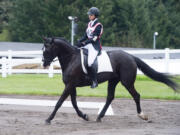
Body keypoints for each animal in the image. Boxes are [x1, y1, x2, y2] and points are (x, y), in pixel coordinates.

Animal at [42, 37, 179, 124]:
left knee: (136, 95)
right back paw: (99, 117)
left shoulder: (70, 85)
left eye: (47, 49)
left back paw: (142, 115)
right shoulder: (71, 86)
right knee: (110, 97)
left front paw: (48, 119)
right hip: (113, 80)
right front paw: (85, 116)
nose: (44, 64)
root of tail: (130, 56)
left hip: (127, 82)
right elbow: (74, 103)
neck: (71, 58)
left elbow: (59, 102)